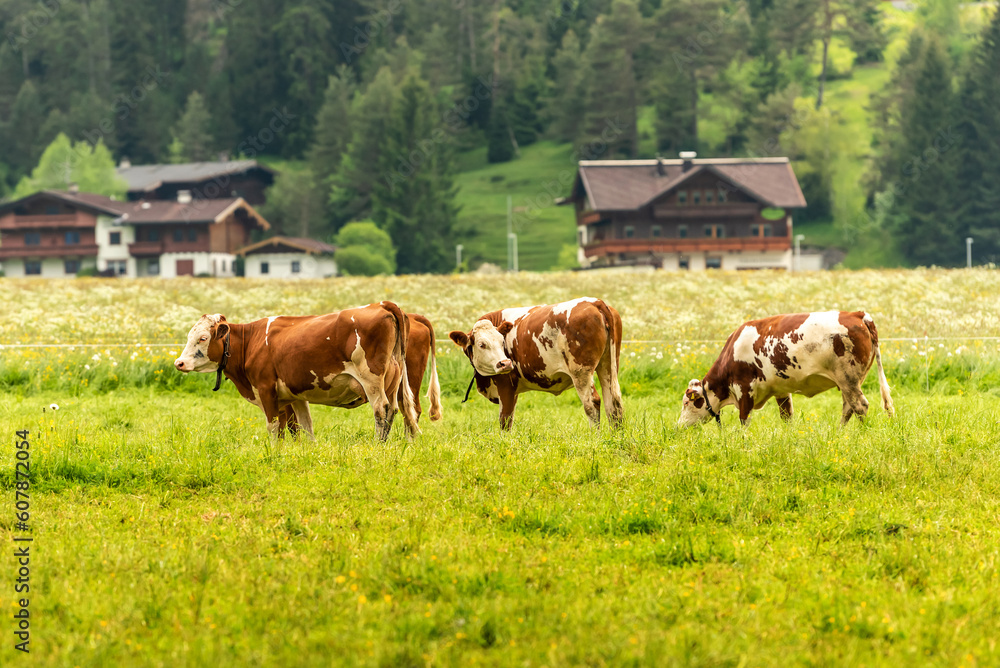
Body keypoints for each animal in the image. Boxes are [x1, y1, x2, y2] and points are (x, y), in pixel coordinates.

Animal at [174, 302, 420, 438]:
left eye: (202, 338)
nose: (179, 363)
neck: (251, 342)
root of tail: (380, 304)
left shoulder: (266, 390)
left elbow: (274, 427)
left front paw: (274, 454)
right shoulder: (296, 396)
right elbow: (305, 427)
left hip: (372, 380)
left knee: (382, 411)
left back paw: (378, 445)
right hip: (394, 381)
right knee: (400, 411)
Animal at [448, 296, 620, 428]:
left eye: (501, 341)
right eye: (481, 344)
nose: (505, 363)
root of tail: (594, 302)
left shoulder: (505, 385)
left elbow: (505, 420)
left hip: (581, 373)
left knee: (592, 403)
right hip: (608, 366)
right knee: (613, 403)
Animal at [676, 310, 896, 426]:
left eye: (687, 403)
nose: (678, 427)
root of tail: (856, 314)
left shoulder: (744, 389)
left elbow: (744, 420)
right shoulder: (780, 390)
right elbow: (786, 416)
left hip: (848, 378)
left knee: (860, 406)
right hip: (849, 382)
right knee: (848, 407)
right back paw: (839, 432)